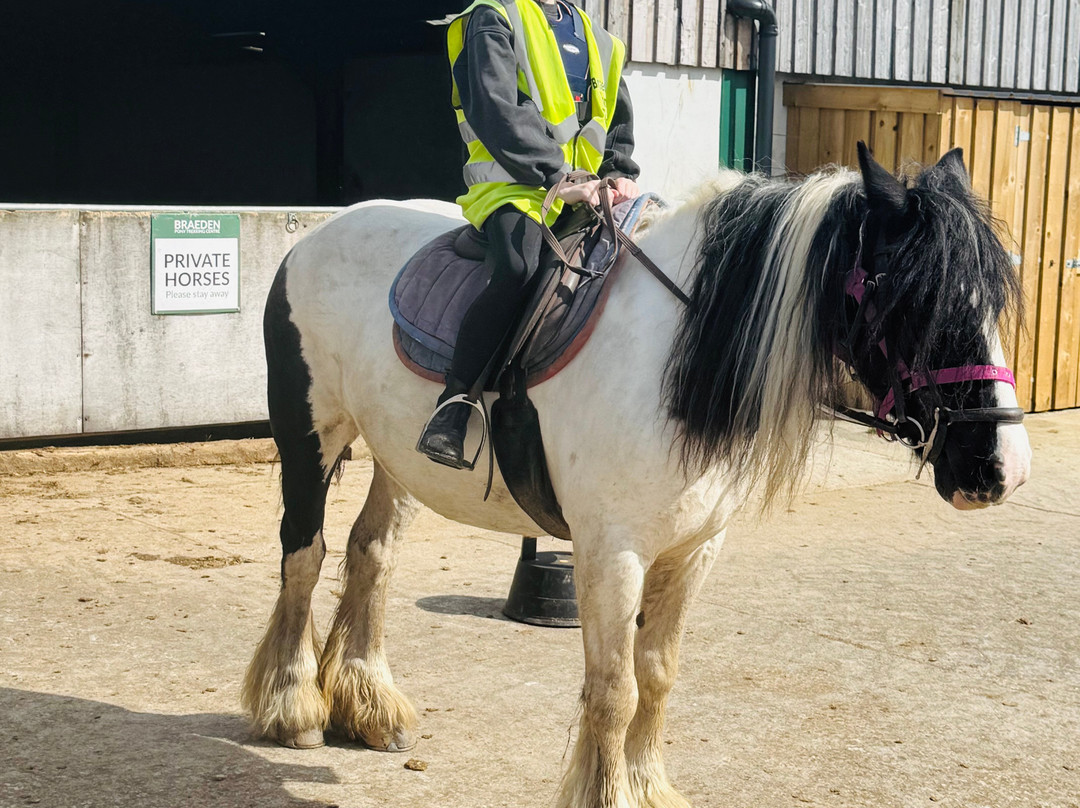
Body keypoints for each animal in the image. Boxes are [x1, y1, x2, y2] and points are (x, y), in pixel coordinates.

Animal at [241, 144, 1031, 808]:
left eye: (992, 297)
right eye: (916, 300)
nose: (1003, 469)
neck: (672, 353)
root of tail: (315, 236)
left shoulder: (694, 549)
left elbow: (657, 675)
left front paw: (649, 786)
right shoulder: (611, 553)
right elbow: (614, 690)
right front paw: (607, 792)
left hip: (397, 459)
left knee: (371, 554)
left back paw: (369, 705)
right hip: (310, 437)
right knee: (304, 555)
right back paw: (293, 705)